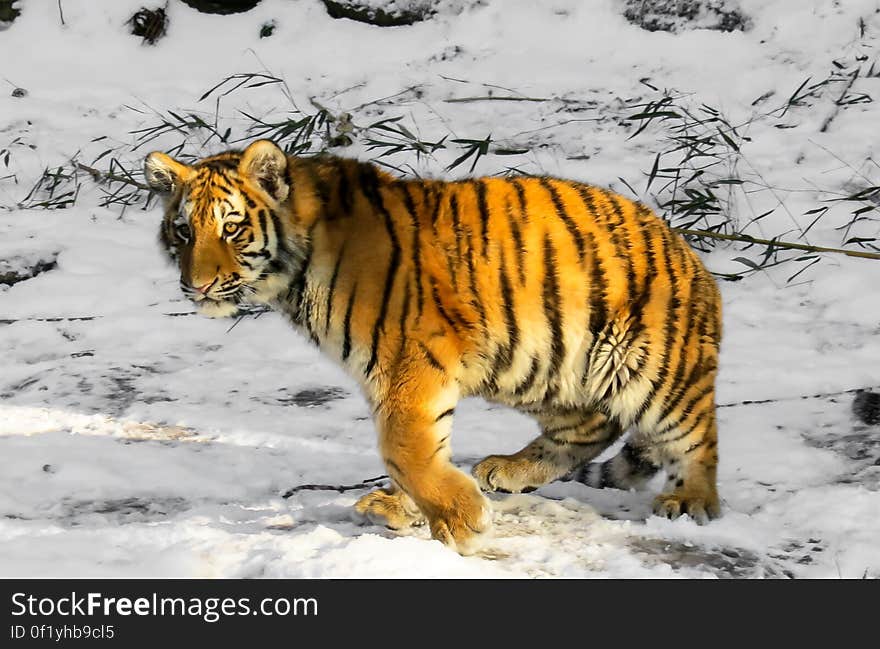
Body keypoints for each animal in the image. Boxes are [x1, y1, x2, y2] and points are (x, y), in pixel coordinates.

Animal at [144, 139, 720, 556]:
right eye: (183, 231)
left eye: (233, 228)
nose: (195, 286)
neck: (296, 275)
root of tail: (689, 252)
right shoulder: (395, 373)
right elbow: (416, 450)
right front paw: (407, 509)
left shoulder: (413, 359)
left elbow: (403, 446)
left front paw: (461, 523)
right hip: (535, 365)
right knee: (591, 425)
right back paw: (509, 470)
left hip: (652, 369)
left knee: (696, 439)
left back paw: (689, 501)